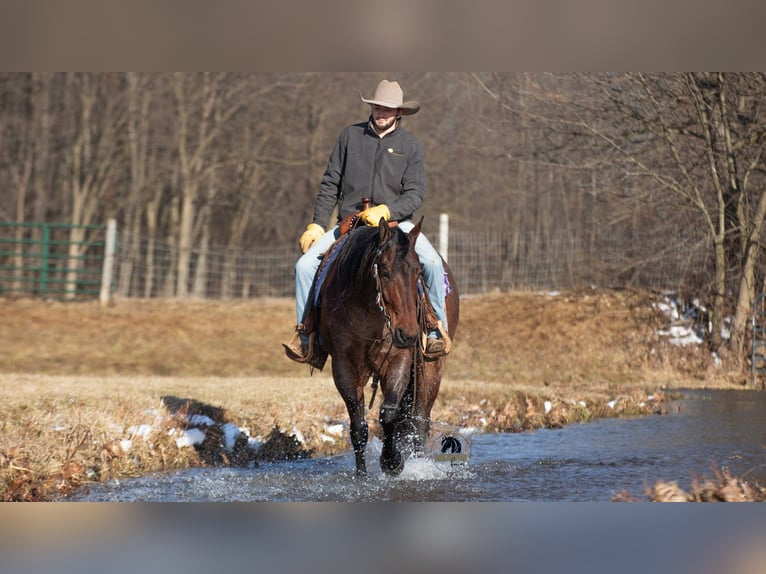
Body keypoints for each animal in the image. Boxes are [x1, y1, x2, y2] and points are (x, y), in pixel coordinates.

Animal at [315, 218, 459, 476]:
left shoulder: (399, 359)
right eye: (384, 271)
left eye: (419, 273)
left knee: (419, 421)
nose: (409, 333)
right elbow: (358, 427)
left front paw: (392, 461)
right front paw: (362, 474)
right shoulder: (343, 366)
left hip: (431, 369)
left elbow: (389, 413)